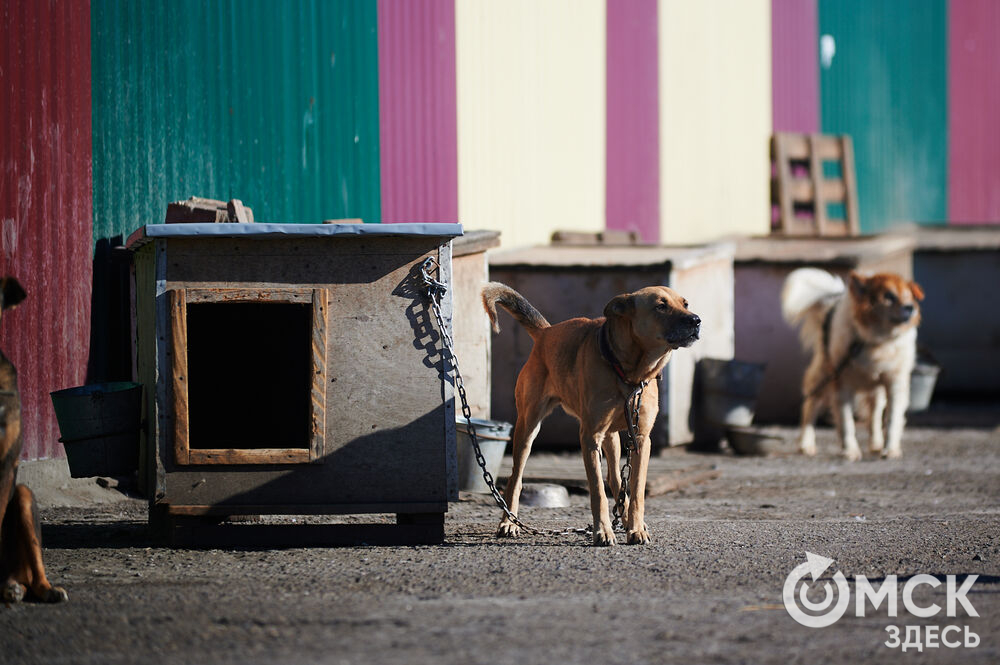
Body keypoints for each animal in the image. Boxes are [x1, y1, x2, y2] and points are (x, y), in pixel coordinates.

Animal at [480, 280, 700, 544]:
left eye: (685, 303)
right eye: (660, 306)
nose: (696, 320)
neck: (629, 372)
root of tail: (546, 333)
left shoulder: (640, 439)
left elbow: (636, 491)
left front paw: (636, 528)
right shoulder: (590, 437)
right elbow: (597, 492)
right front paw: (603, 531)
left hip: (611, 437)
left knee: (616, 479)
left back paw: (627, 518)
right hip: (528, 428)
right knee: (515, 478)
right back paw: (508, 523)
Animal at [780, 268, 920, 460]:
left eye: (908, 296)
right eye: (888, 296)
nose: (910, 307)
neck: (875, 340)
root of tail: (832, 301)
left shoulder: (895, 381)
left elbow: (892, 419)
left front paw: (890, 449)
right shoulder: (841, 383)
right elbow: (846, 421)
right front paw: (850, 451)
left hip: (875, 390)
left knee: (874, 415)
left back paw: (876, 444)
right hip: (822, 376)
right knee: (810, 407)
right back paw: (806, 444)